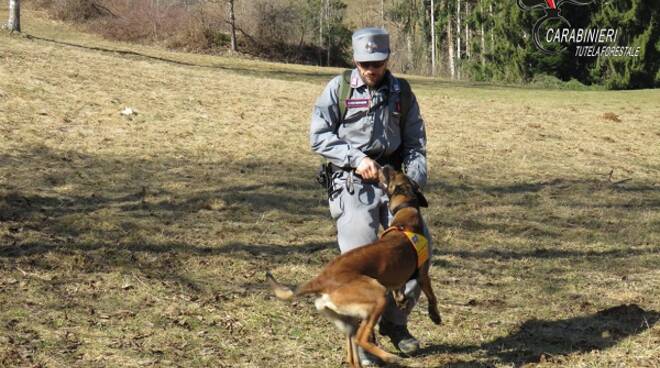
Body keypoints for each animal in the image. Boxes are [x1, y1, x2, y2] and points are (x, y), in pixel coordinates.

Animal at [266, 167, 440, 368]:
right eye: (392, 174)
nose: (385, 166)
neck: (406, 212)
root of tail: (322, 278)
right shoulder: (423, 275)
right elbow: (432, 297)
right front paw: (435, 316)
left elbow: (400, 289)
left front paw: (402, 300)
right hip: (378, 297)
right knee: (361, 339)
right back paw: (389, 357)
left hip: (349, 320)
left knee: (352, 354)